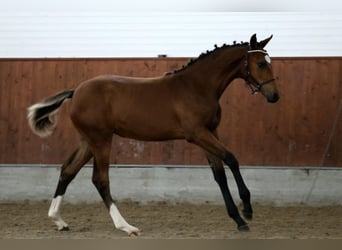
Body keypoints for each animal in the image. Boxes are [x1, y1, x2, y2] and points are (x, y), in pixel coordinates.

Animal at [26, 34, 278, 235]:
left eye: (269, 62)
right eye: (260, 64)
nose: (274, 96)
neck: (197, 86)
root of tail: (76, 91)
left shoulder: (210, 132)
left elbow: (219, 174)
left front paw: (238, 220)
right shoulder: (197, 134)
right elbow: (232, 159)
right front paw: (247, 209)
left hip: (89, 141)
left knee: (67, 171)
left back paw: (59, 220)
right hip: (101, 140)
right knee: (100, 179)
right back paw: (125, 226)